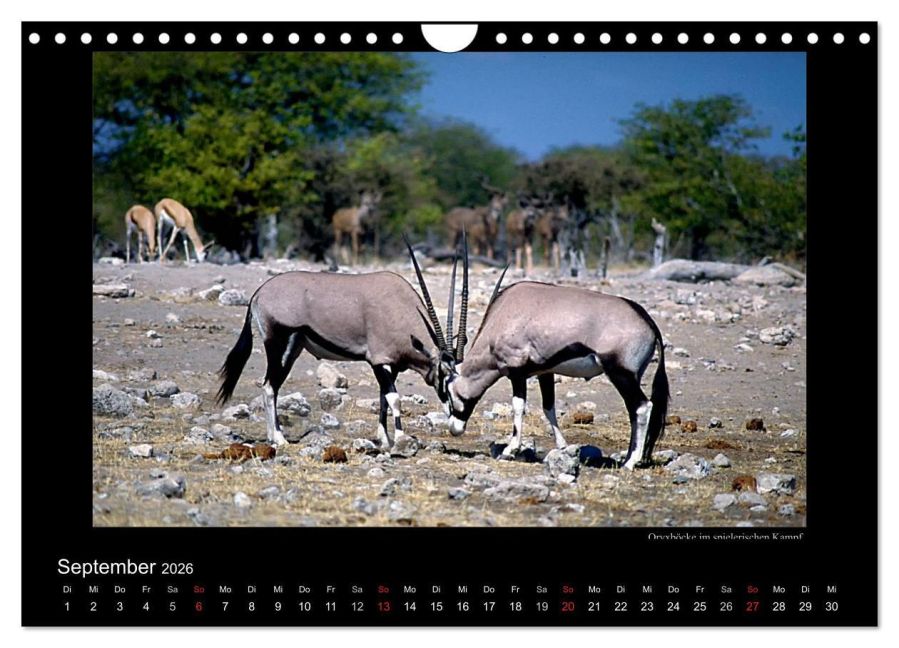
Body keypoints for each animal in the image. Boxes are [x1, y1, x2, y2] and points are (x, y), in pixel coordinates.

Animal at [216, 233, 470, 449]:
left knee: (272, 387)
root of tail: (258, 293)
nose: (457, 425)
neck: (399, 308)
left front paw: (384, 440)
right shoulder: (378, 361)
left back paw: (272, 436)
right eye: (444, 376)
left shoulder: (393, 366)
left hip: (293, 349)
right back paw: (279, 438)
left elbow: (383, 399)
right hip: (278, 346)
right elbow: (394, 399)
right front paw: (400, 440)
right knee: (269, 386)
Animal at [411, 251, 669, 471]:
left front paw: (510, 450)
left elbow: (518, 407)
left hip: (620, 373)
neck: (502, 319)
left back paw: (630, 462)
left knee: (641, 407)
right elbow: (548, 407)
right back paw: (628, 458)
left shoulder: (516, 372)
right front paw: (563, 448)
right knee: (634, 411)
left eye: (446, 391)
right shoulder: (545, 371)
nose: (454, 429)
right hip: (631, 376)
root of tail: (648, 322)